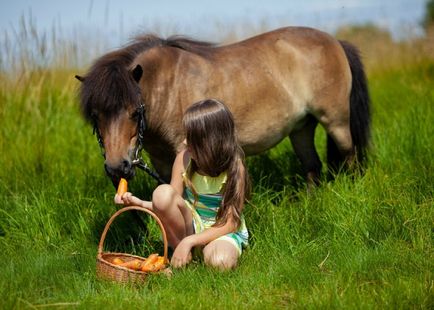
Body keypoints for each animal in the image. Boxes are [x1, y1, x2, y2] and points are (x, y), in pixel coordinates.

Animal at [75, 26, 370, 186]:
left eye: (135, 112)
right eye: (95, 117)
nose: (117, 168)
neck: (168, 87)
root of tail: (335, 41)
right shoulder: (161, 160)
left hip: (336, 122)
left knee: (350, 155)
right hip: (301, 128)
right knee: (312, 166)